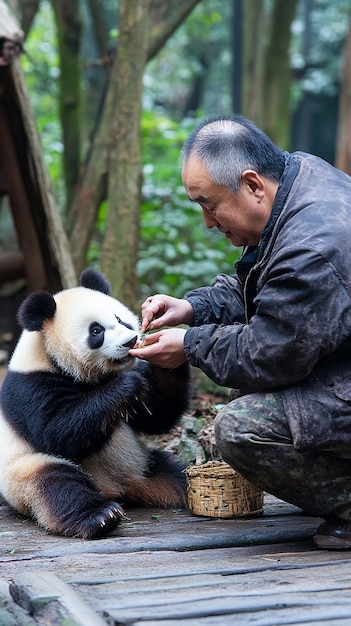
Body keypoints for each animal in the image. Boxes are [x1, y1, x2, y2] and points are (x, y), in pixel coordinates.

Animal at [0, 268, 191, 536]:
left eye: (121, 320)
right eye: (96, 331)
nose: (131, 341)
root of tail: (119, 488)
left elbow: (156, 418)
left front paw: (166, 356)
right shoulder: (31, 386)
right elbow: (57, 432)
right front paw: (127, 383)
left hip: (143, 461)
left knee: (174, 471)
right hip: (23, 473)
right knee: (58, 483)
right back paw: (101, 516)